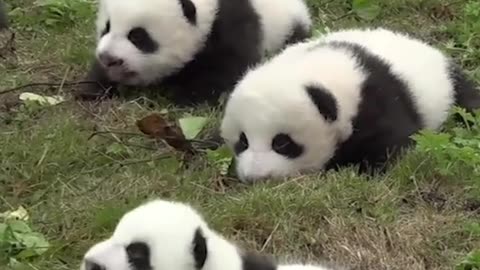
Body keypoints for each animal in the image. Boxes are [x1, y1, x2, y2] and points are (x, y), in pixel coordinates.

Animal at [76, 0, 312, 105]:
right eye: (107, 27)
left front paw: (184, 96)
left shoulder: (230, 26)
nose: (108, 58)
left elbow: (225, 68)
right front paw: (92, 88)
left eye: (137, 37)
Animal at [220, 26, 480, 181]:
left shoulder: (374, 99)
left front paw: (364, 172)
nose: (255, 177)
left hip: (448, 89)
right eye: (243, 141)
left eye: (282, 143)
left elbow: (392, 142)